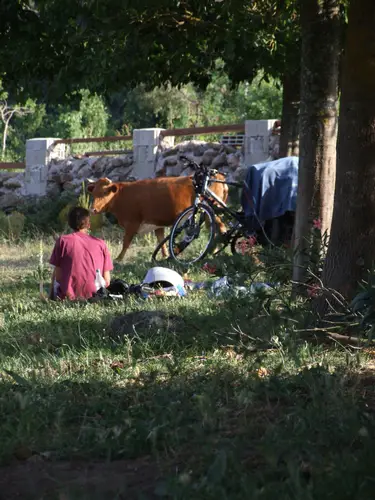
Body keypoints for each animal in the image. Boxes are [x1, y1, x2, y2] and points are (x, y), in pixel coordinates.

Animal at [87, 175, 229, 262]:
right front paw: (165, 256)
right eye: (93, 193)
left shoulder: (132, 223)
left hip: (211, 211)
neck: (121, 195)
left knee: (221, 228)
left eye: (105, 193)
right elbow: (161, 241)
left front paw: (119, 258)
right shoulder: (157, 224)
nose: (92, 209)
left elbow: (126, 242)